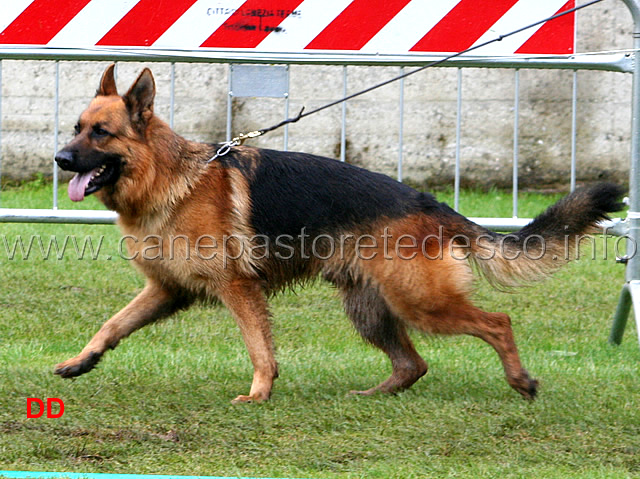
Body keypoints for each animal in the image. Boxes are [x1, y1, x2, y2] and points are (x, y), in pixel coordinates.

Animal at [55, 65, 624, 404]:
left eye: (101, 133)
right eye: (76, 127)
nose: (59, 159)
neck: (168, 177)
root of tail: (430, 202)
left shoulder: (239, 290)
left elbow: (258, 348)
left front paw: (259, 394)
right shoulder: (165, 290)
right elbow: (112, 325)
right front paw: (82, 360)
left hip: (421, 302)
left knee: (497, 323)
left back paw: (520, 382)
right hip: (369, 308)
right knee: (414, 363)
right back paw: (376, 394)